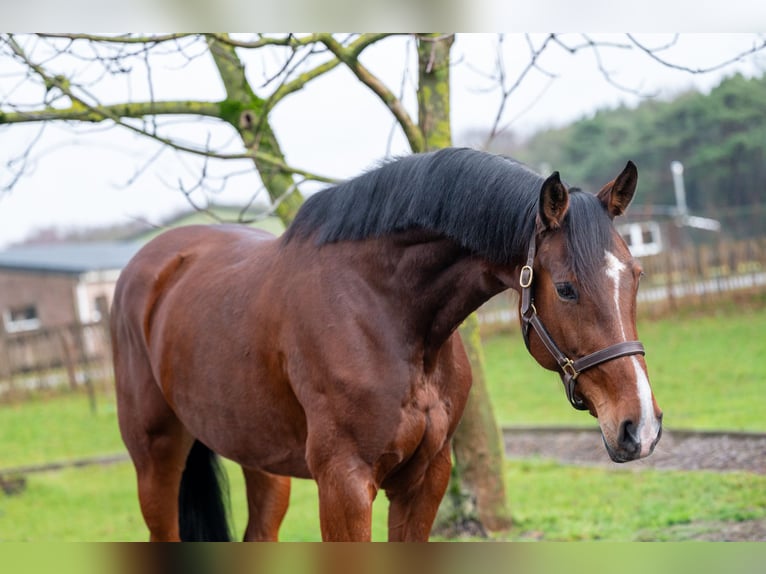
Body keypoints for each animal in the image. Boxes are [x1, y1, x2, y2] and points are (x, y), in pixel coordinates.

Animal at [111, 147, 662, 542]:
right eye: (566, 288)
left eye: (636, 275)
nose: (640, 427)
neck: (387, 313)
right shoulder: (345, 486)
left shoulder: (426, 480)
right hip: (156, 459)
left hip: (260, 462)